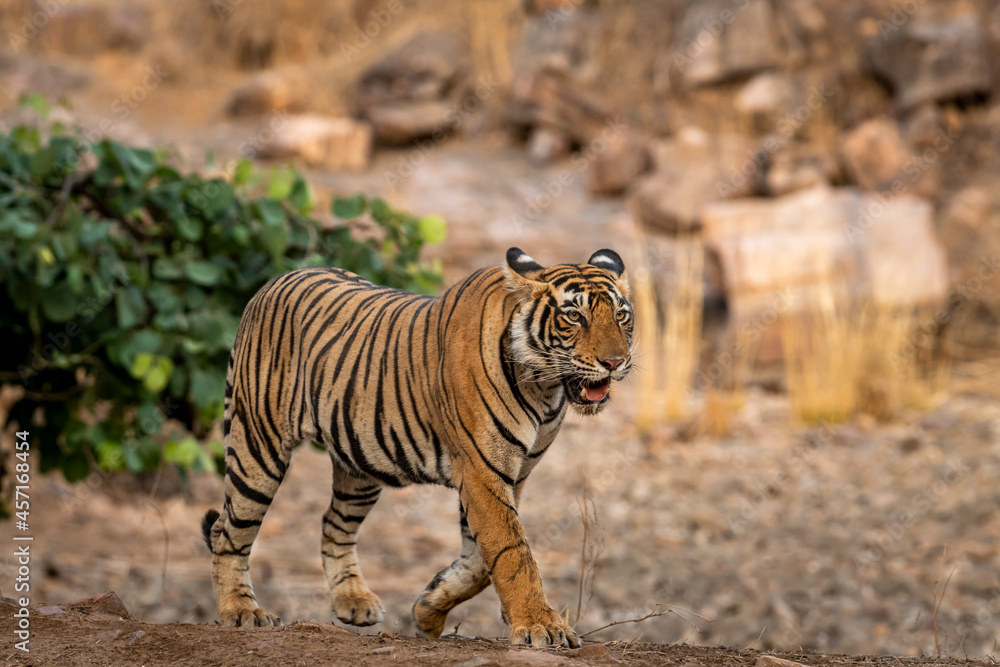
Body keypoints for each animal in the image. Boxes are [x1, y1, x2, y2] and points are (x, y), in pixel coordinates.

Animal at [201, 247, 633, 648]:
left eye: (622, 316)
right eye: (574, 316)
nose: (615, 362)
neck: (544, 389)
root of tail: (277, 279)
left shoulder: (513, 475)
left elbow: (480, 562)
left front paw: (428, 610)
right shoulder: (482, 472)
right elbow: (512, 551)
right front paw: (541, 626)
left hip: (361, 463)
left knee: (333, 524)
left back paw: (353, 602)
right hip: (258, 447)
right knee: (227, 531)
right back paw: (241, 611)